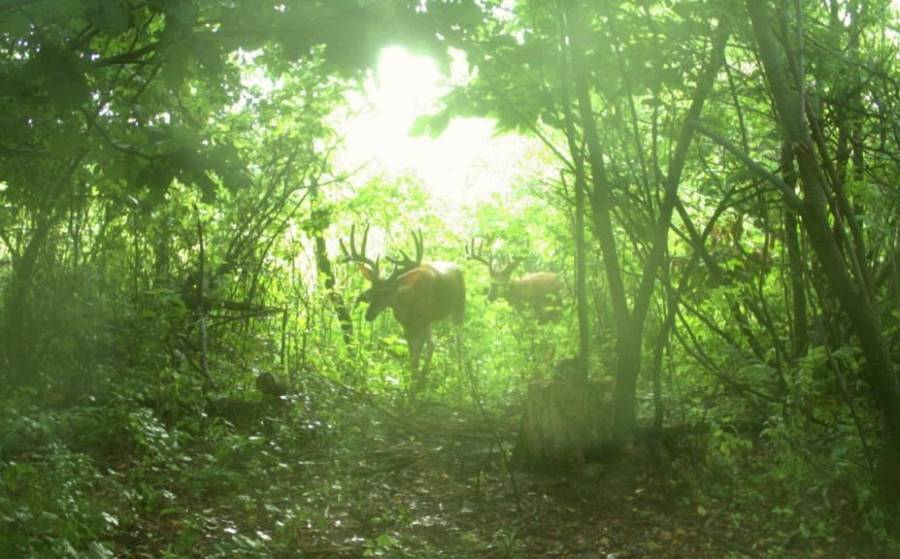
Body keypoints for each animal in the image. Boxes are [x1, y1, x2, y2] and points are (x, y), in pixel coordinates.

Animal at [342, 225, 465, 397]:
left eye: (387, 292)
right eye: (372, 289)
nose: (369, 314)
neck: (409, 305)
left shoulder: (421, 321)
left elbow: (417, 354)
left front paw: (411, 391)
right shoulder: (408, 326)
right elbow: (412, 353)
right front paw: (410, 384)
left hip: (459, 306)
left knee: (458, 341)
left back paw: (459, 377)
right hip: (431, 321)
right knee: (433, 343)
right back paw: (424, 379)